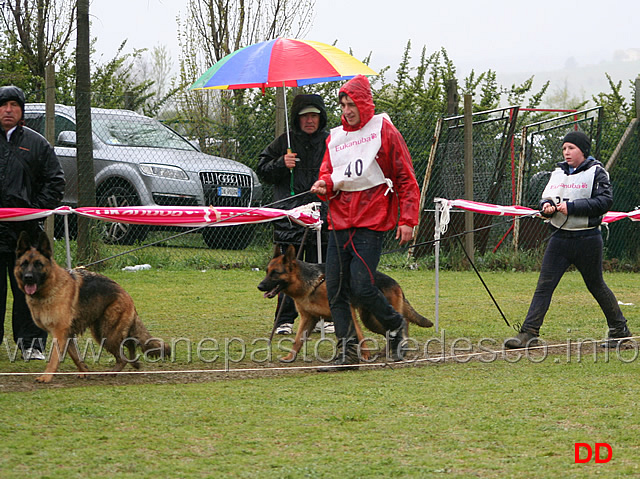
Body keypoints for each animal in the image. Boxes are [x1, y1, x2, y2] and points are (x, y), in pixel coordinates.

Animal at [14, 231, 171, 384]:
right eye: (24, 264)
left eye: (38, 264)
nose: (28, 277)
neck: (50, 287)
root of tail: (126, 295)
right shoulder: (68, 335)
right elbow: (76, 356)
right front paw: (84, 371)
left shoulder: (59, 333)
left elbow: (54, 357)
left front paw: (46, 377)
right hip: (102, 331)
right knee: (130, 344)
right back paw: (133, 364)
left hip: (107, 334)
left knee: (124, 355)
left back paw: (113, 372)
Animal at [258, 246, 432, 362]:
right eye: (267, 271)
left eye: (275, 273)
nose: (259, 286)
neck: (312, 284)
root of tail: (396, 283)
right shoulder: (308, 319)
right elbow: (298, 340)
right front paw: (290, 357)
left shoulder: (348, 312)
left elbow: (360, 336)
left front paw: (365, 355)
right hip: (371, 320)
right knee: (392, 331)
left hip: (377, 316)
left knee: (402, 323)